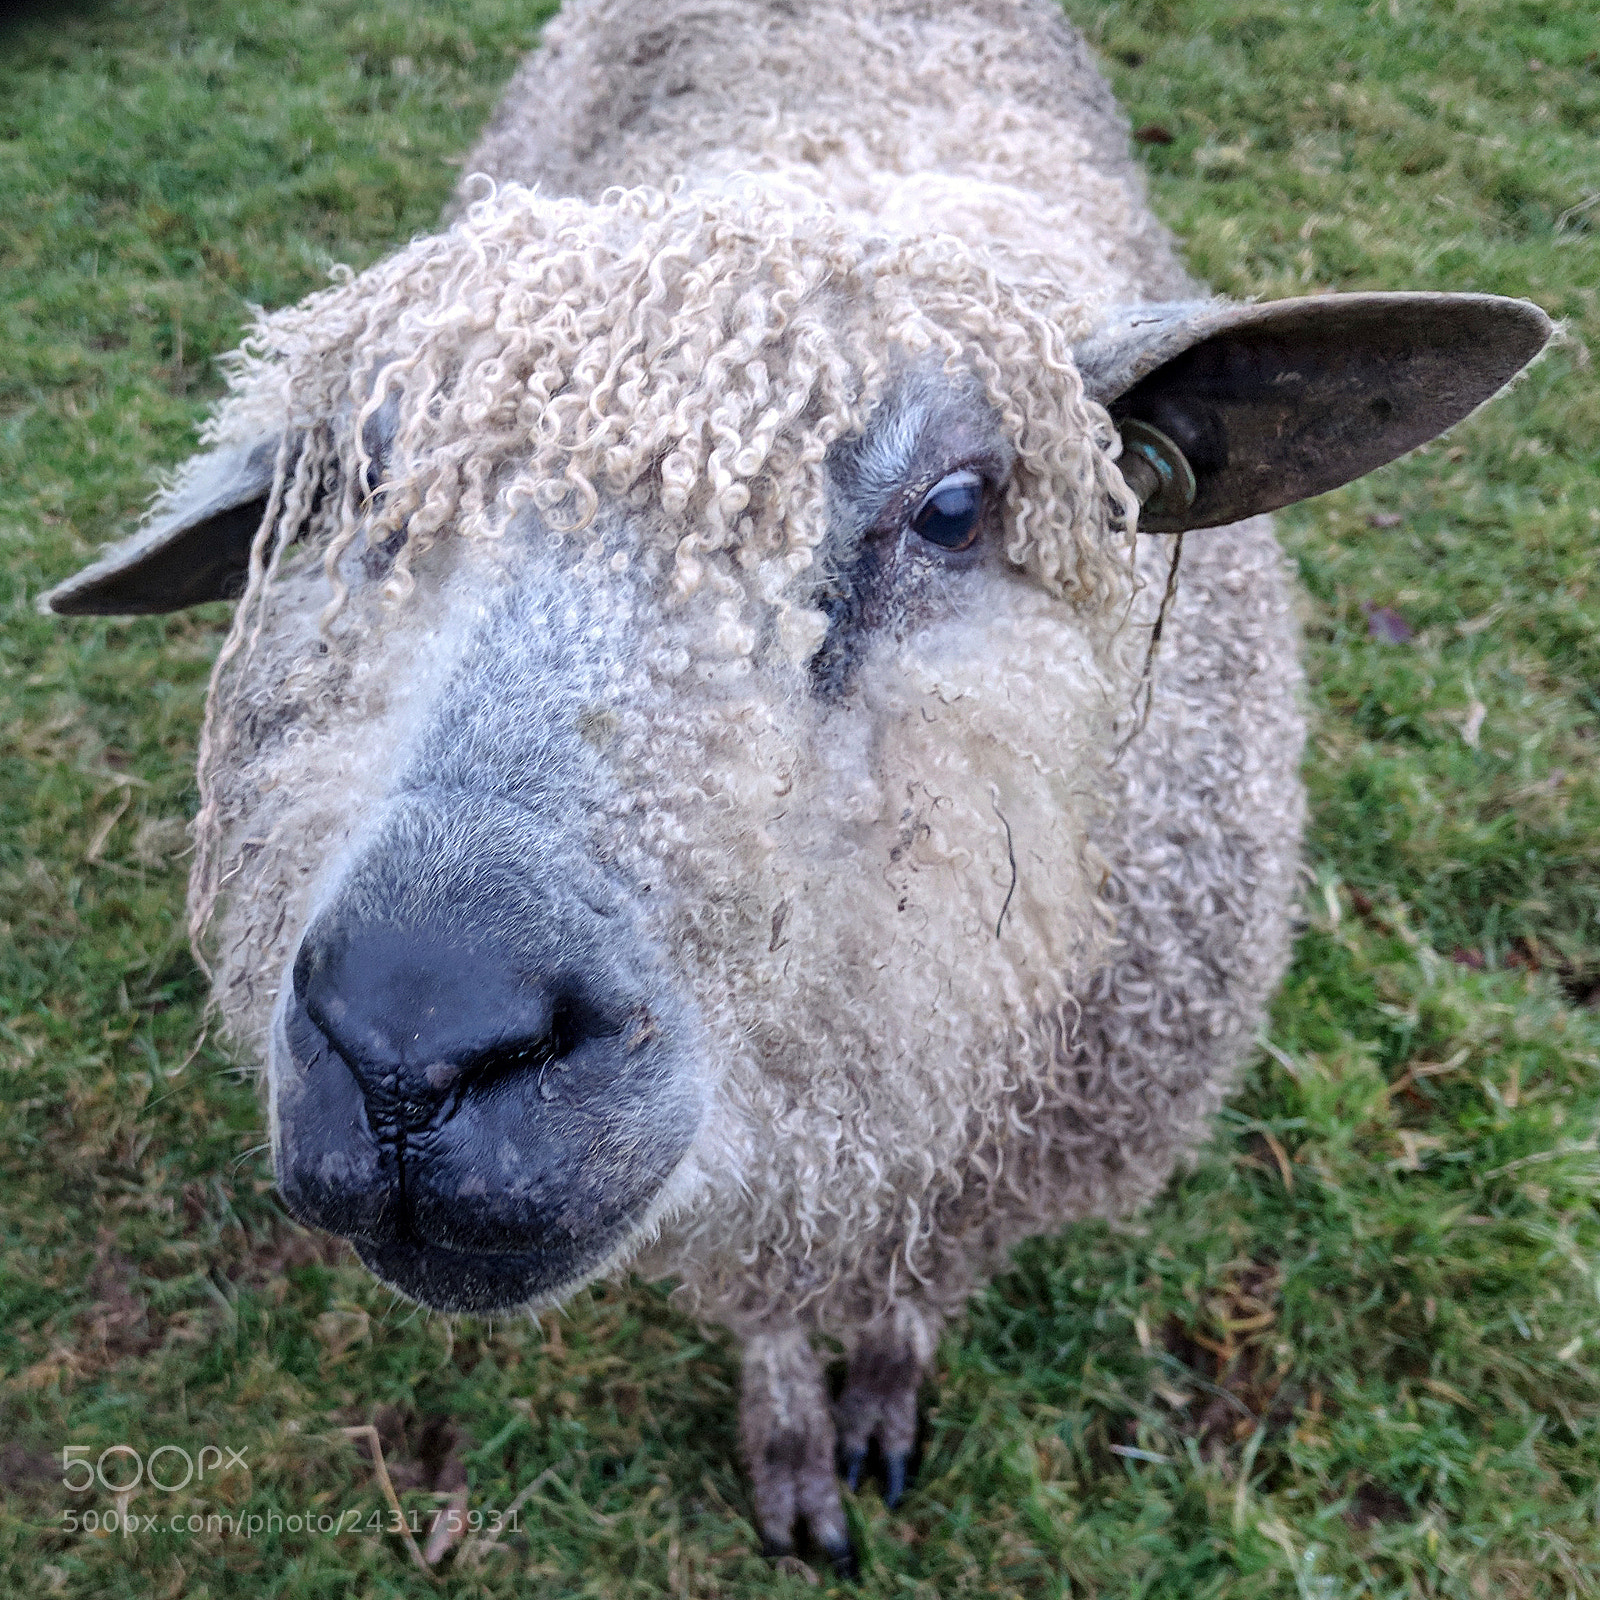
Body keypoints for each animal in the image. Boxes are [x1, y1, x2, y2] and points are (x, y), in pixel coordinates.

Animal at [45, 0, 1551, 1573]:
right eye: (350, 489)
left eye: (953, 508)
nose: (413, 1045)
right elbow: (768, 1316)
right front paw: (793, 1450)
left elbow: (913, 1292)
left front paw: (885, 1390)